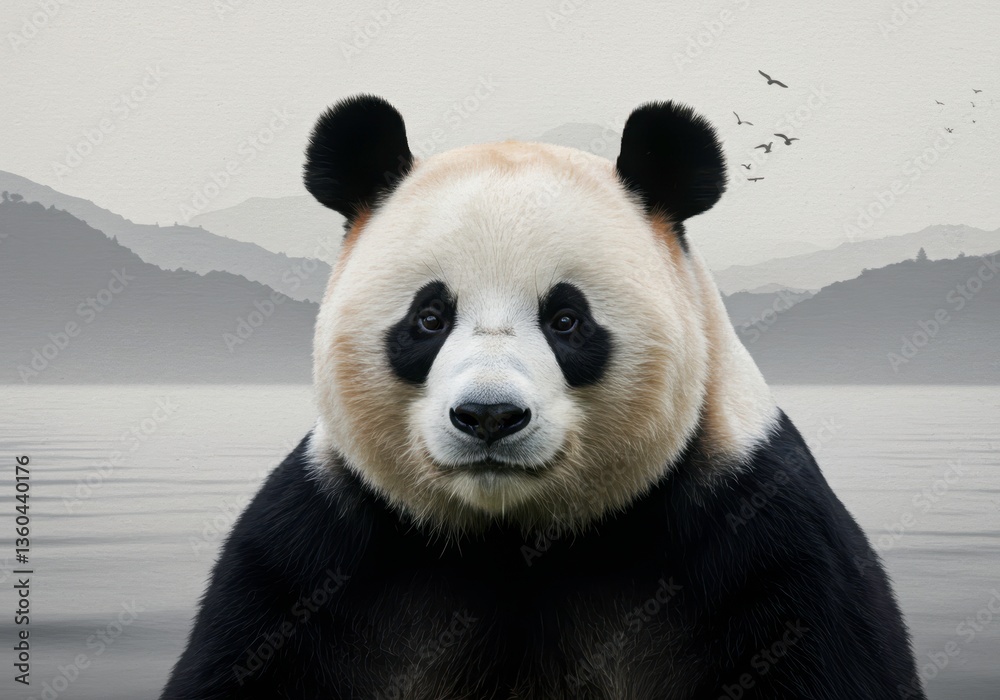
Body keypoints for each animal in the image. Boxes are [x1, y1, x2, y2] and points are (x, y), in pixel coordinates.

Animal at [161, 95, 925, 700]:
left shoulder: (753, 533)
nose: (489, 417)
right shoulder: (318, 553)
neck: (515, 541)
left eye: (566, 319)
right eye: (429, 318)